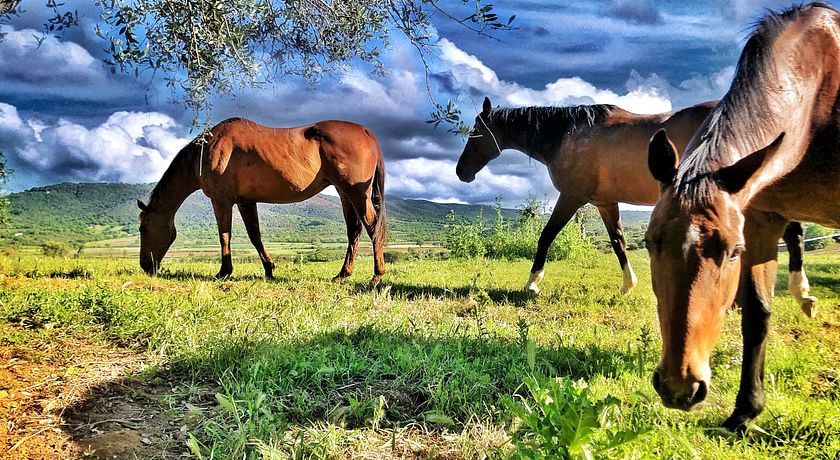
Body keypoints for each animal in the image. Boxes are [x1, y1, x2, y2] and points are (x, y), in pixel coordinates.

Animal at [137, 117, 388, 284]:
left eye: (143, 228)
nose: (145, 267)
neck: (206, 151)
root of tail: (366, 131)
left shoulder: (221, 200)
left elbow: (224, 235)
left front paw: (224, 272)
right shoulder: (245, 201)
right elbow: (254, 235)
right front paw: (269, 269)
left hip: (356, 194)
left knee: (372, 227)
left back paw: (376, 276)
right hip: (345, 194)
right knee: (354, 232)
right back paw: (343, 274)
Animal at [452, 97, 812, 308]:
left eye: (476, 133)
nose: (461, 173)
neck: (567, 135)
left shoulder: (571, 197)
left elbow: (546, 236)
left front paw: (532, 283)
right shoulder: (604, 203)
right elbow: (618, 242)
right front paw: (629, 285)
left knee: (790, 231)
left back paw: (800, 291)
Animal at [648, 2, 836, 434]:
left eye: (733, 251)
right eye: (649, 244)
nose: (680, 387)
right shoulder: (762, 220)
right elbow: (757, 315)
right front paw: (745, 411)